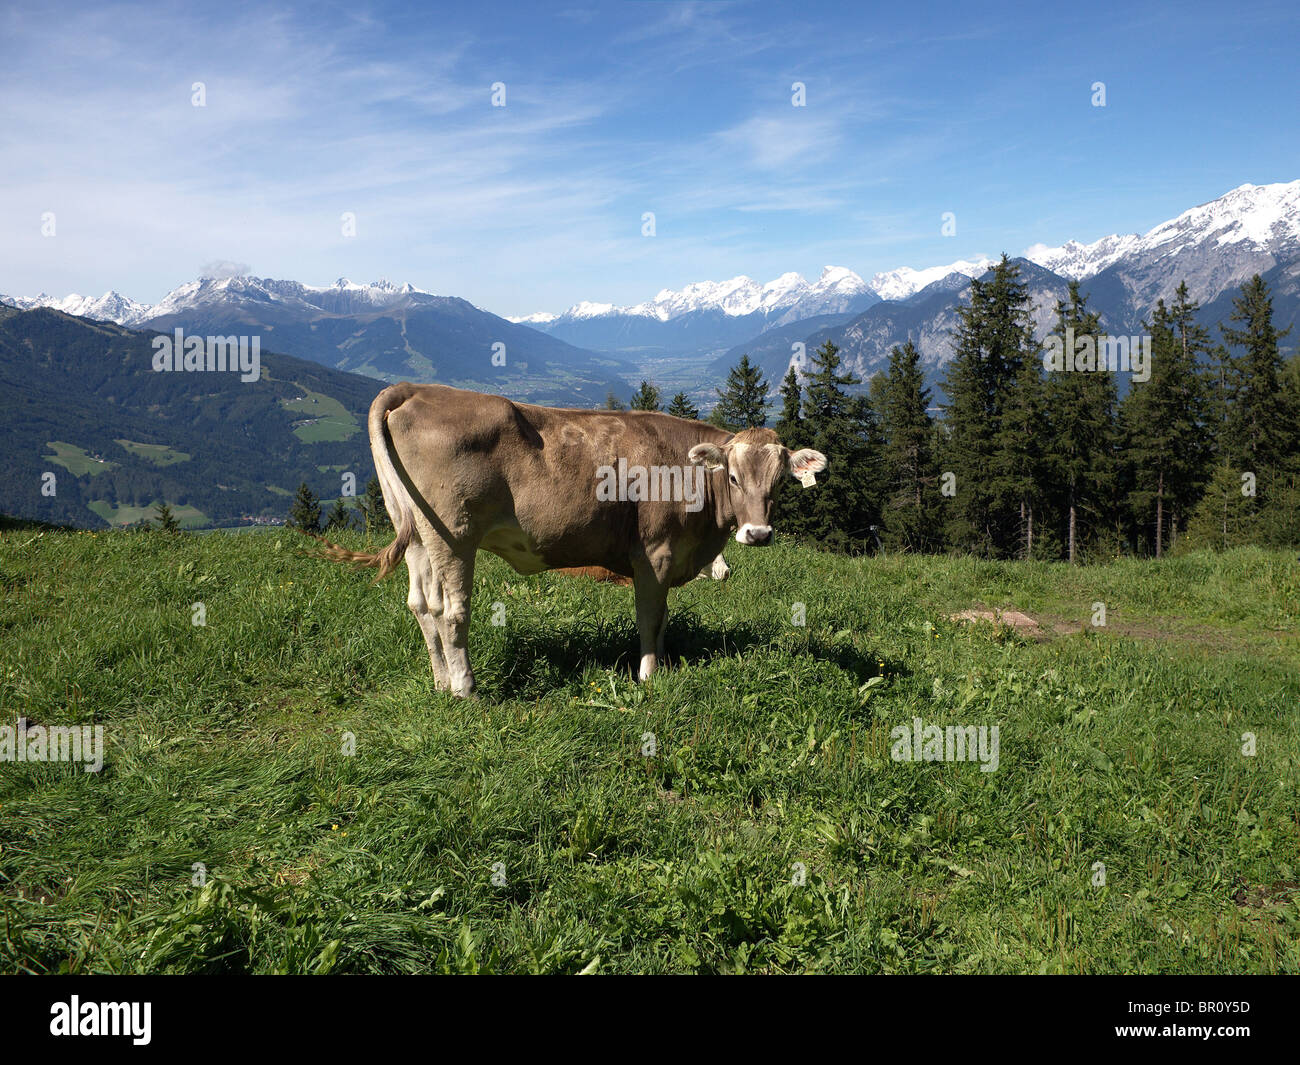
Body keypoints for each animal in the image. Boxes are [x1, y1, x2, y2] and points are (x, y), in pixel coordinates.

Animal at [316, 382, 827, 697]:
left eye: (780, 481)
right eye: (734, 477)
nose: (757, 533)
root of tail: (419, 389)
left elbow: (663, 621)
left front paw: (662, 667)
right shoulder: (654, 555)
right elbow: (649, 619)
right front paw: (647, 677)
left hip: (418, 534)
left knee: (420, 604)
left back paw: (441, 683)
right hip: (452, 533)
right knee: (451, 610)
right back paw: (465, 688)